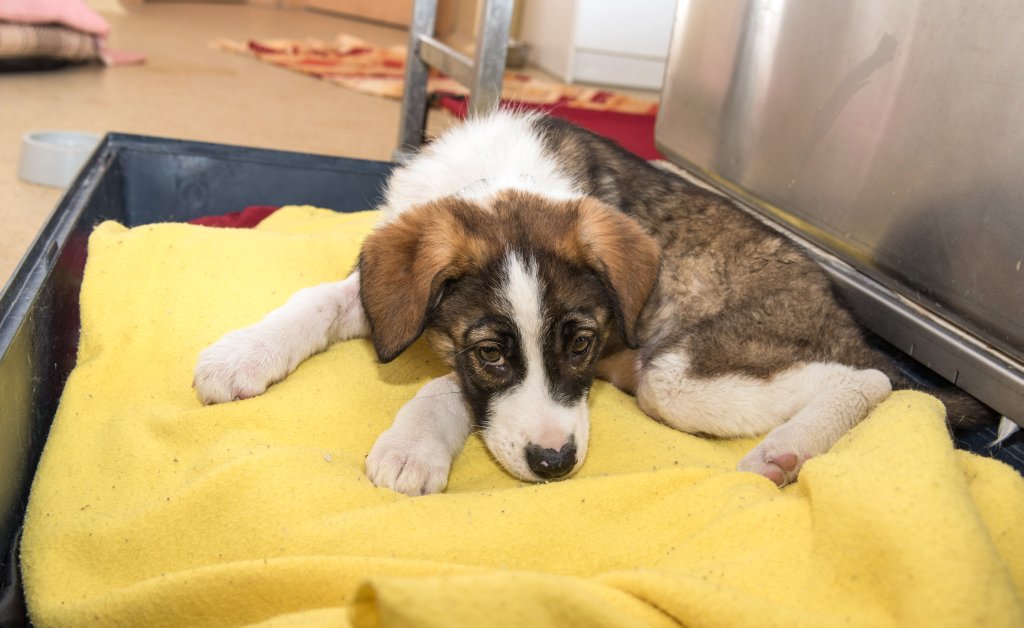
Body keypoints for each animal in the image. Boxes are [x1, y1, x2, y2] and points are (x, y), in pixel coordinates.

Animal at [193, 109, 991, 493]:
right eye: (491, 352)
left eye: (578, 343)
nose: (554, 465)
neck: (501, 175)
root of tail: (843, 313)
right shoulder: (396, 285)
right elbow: (321, 300)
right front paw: (242, 355)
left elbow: (444, 388)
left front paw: (412, 445)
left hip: (684, 371)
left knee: (878, 380)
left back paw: (784, 451)